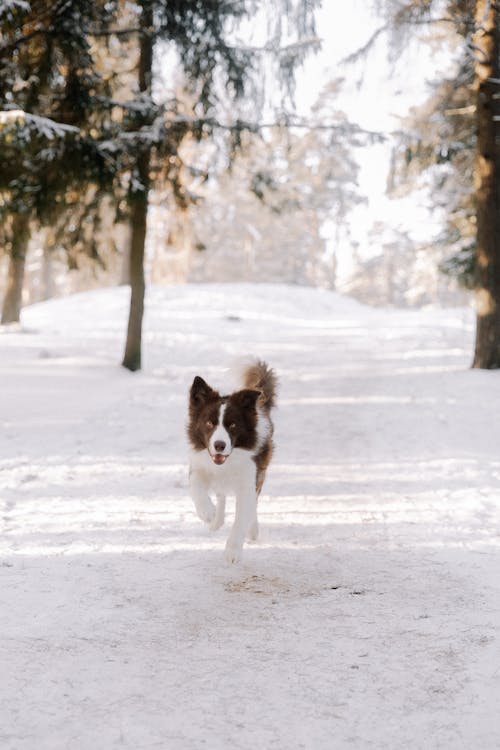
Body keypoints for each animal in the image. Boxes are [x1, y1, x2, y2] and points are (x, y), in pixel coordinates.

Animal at [188, 360, 278, 564]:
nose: (219, 445)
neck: (227, 463)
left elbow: (242, 516)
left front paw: (232, 552)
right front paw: (207, 513)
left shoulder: (249, 479)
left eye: (233, 425)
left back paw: (252, 531)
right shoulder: (200, 465)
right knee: (221, 494)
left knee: (252, 503)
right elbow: (196, 487)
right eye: (209, 423)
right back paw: (216, 520)